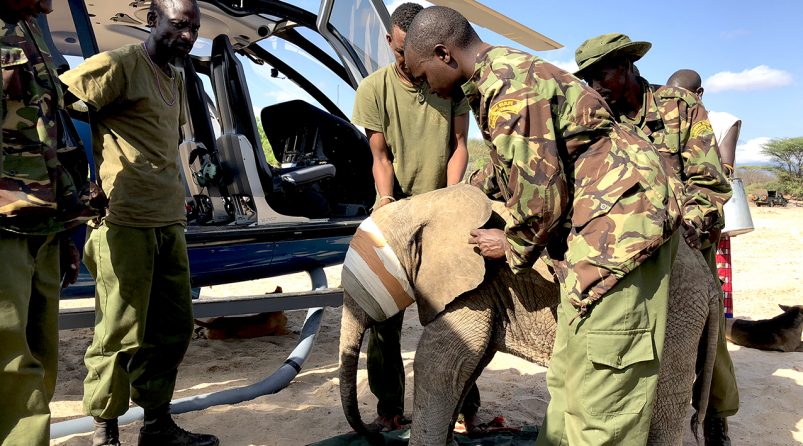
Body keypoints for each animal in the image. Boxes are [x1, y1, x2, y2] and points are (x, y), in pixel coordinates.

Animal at [336, 183, 720, 444]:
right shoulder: (487, 291)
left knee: (663, 402)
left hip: (675, 310)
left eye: (361, 295)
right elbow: (469, 363)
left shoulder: (475, 285)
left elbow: (439, 364)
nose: (374, 432)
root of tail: (710, 280)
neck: (423, 205)